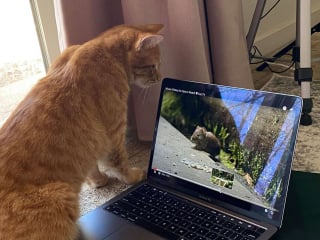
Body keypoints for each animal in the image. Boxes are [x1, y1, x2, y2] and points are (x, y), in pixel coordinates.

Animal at [0, 24, 164, 240]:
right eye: (153, 66)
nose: (160, 78)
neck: (108, 53)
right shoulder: (113, 134)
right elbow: (119, 163)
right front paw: (133, 176)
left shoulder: (91, 141)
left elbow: (91, 165)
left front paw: (97, 181)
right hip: (61, 195)